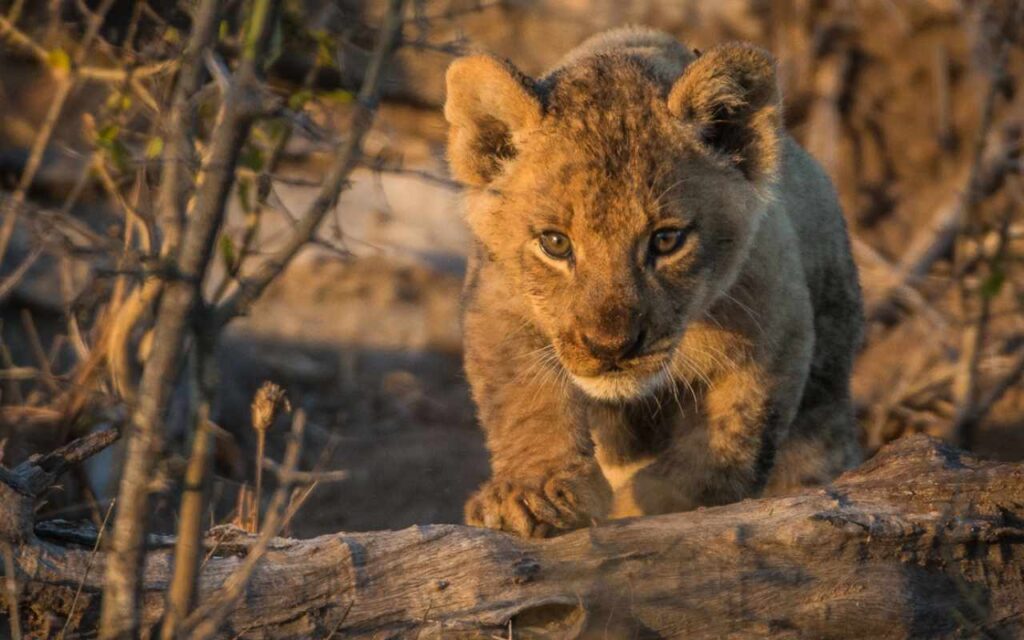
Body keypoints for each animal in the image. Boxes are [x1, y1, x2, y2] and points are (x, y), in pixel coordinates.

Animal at [444, 27, 863, 537]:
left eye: (665, 240)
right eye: (555, 243)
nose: (612, 348)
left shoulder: (773, 326)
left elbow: (719, 451)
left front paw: (638, 509)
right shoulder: (495, 304)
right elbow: (524, 401)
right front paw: (531, 495)